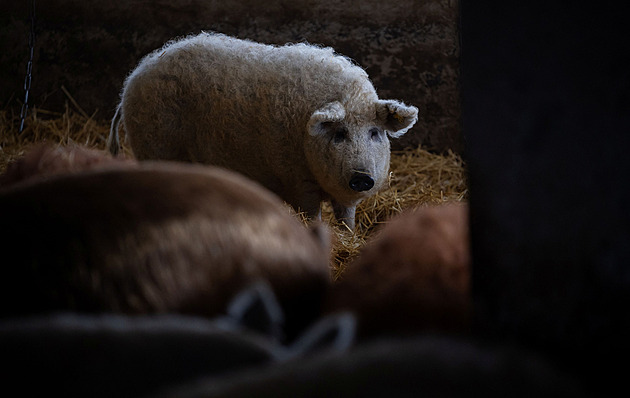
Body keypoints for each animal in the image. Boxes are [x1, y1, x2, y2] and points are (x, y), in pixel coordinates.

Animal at [110, 32, 420, 230]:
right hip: (153, 145)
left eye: (375, 133)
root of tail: (132, 80)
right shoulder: (297, 179)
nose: (362, 178)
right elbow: (312, 216)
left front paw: (350, 237)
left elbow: (347, 220)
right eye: (339, 134)